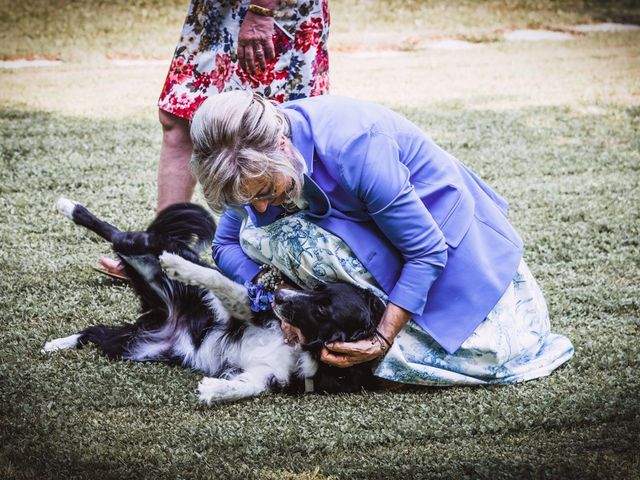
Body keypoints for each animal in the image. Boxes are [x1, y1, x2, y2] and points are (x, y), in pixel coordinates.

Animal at [45, 199, 388, 402]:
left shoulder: (267, 373)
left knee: (94, 332)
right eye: (319, 289)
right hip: (142, 253)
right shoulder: (247, 311)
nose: (276, 295)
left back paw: (55, 344)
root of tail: (164, 315)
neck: (302, 344)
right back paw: (69, 206)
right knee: (118, 234)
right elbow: (217, 279)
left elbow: (245, 387)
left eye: (322, 307)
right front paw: (181, 267)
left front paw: (213, 388)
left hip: (134, 346)